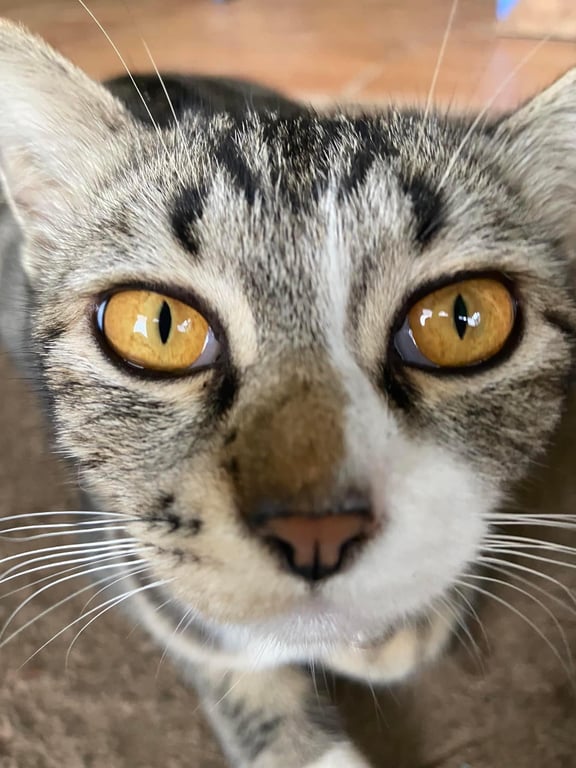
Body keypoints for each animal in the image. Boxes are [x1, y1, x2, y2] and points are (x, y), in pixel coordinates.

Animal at [0, 18, 575, 768]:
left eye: (461, 318)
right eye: (158, 325)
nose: (315, 528)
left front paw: (408, 620)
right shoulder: (114, 536)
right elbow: (213, 638)